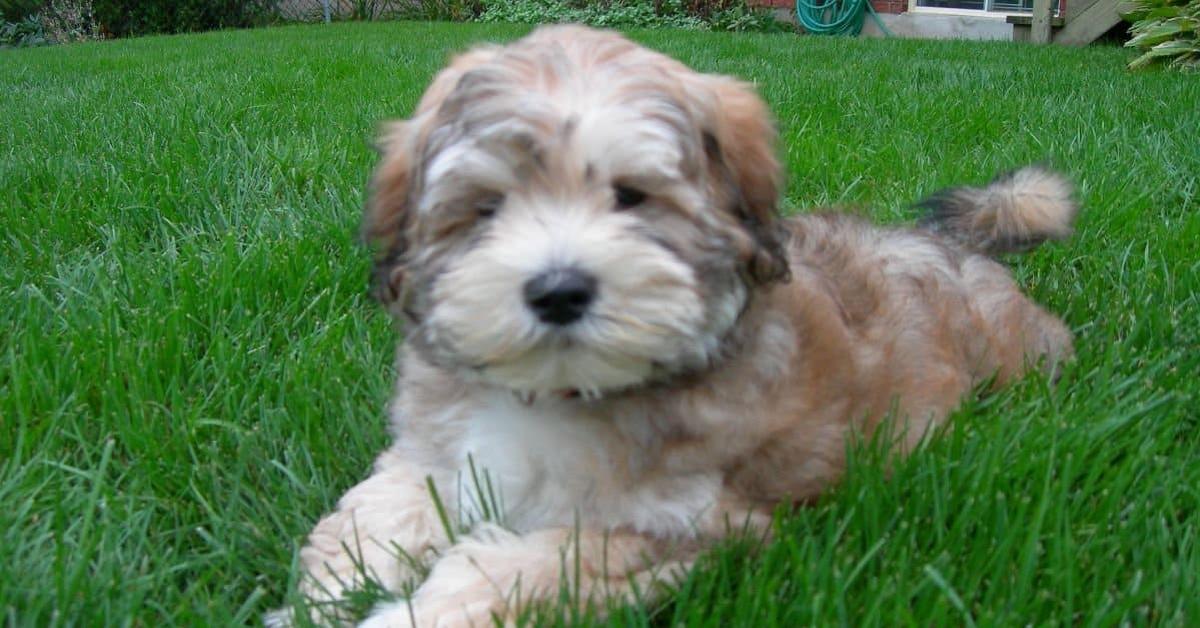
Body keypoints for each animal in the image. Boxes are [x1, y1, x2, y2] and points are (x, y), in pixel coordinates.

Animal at [274, 25, 1080, 628]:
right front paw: (326, 595)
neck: (563, 392)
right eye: (487, 208)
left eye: (631, 197)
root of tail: (958, 249)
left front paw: (410, 612)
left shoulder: (683, 527)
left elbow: (525, 568)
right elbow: (377, 513)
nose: (559, 291)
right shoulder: (435, 454)